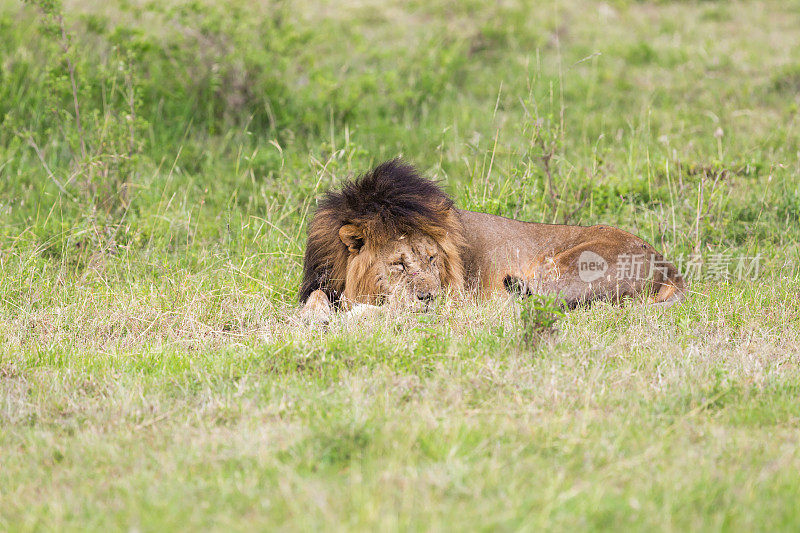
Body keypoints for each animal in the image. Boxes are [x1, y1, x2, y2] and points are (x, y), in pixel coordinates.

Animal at [296, 158, 684, 320]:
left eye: (432, 259)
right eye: (398, 264)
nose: (428, 296)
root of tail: (667, 265)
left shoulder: (456, 299)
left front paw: (345, 314)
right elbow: (315, 298)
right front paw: (316, 313)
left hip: (565, 269)